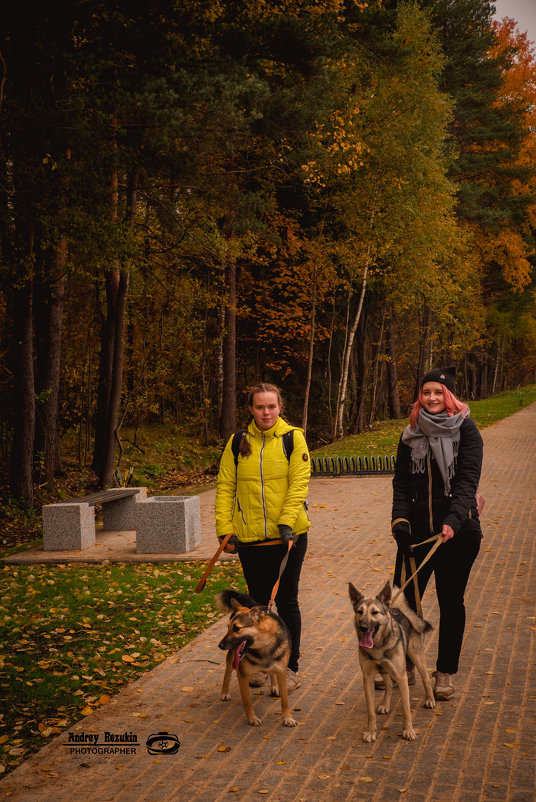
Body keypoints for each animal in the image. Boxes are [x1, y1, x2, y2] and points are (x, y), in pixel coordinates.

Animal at [217, 588, 298, 724]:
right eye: (228, 628)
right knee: (227, 672)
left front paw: (287, 717)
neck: (263, 646)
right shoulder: (242, 675)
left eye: (236, 628)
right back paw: (224, 692)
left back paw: (275, 685)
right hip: (231, 657)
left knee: (271, 673)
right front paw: (252, 718)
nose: (220, 645)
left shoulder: (281, 672)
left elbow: (285, 700)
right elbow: (247, 702)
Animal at [348, 580, 436, 740]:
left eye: (375, 612)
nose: (363, 627)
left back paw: (430, 700)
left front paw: (408, 731)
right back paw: (385, 704)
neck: (378, 646)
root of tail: (400, 611)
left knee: (426, 679)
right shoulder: (368, 678)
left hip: (417, 657)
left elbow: (406, 709)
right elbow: (371, 712)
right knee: (388, 685)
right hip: (384, 669)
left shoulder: (401, 678)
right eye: (360, 611)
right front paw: (371, 732)